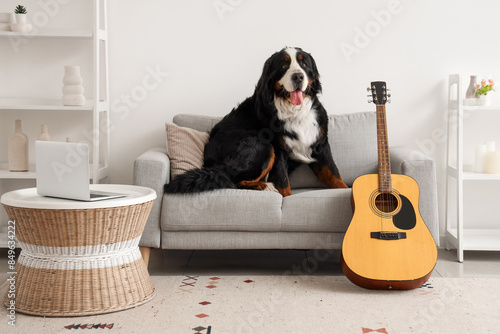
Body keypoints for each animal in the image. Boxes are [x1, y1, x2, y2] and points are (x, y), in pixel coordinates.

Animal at [165, 46, 348, 196]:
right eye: (284, 66)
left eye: (304, 64)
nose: (298, 76)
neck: (294, 112)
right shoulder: (279, 150)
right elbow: (284, 184)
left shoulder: (320, 145)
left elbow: (334, 175)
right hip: (261, 144)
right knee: (232, 181)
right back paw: (263, 186)